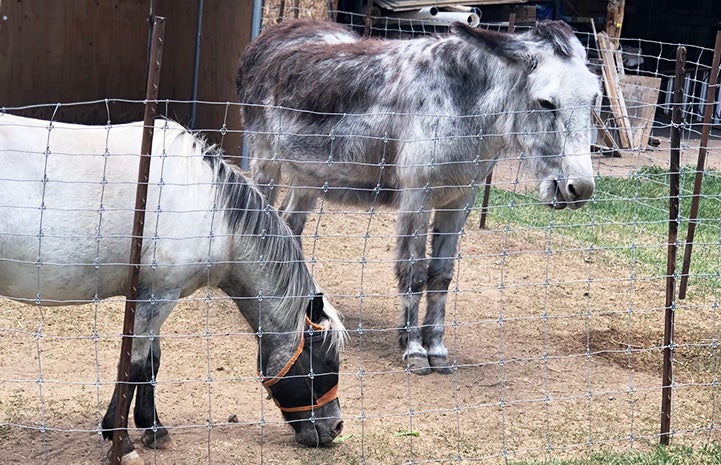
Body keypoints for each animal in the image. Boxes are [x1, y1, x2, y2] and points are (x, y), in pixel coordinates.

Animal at [0, 113, 346, 464]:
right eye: (327, 361)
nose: (335, 427)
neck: (209, 209)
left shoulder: (153, 294)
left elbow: (151, 360)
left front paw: (153, 428)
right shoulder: (159, 297)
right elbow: (135, 364)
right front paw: (122, 442)